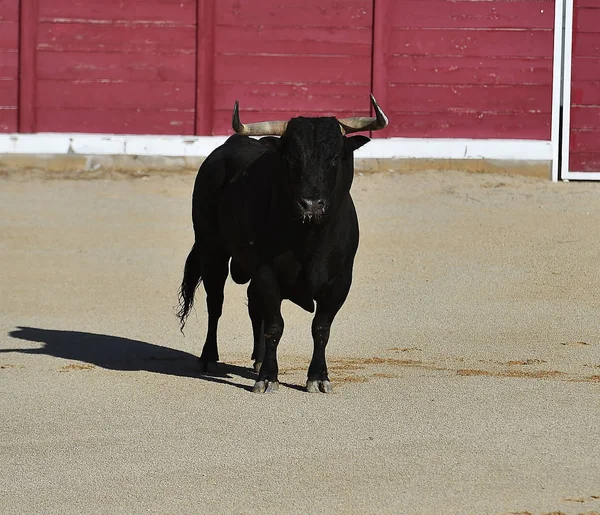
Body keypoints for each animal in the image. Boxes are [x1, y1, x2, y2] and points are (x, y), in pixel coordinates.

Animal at [177, 98, 390, 396]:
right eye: (290, 159)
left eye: (335, 157)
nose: (311, 205)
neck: (309, 238)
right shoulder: (267, 273)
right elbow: (275, 325)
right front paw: (268, 377)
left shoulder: (339, 281)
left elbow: (321, 328)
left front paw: (318, 377)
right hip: (211, 249)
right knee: (215, 303)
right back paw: (209, 358)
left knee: (252, 305)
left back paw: (256, 358)